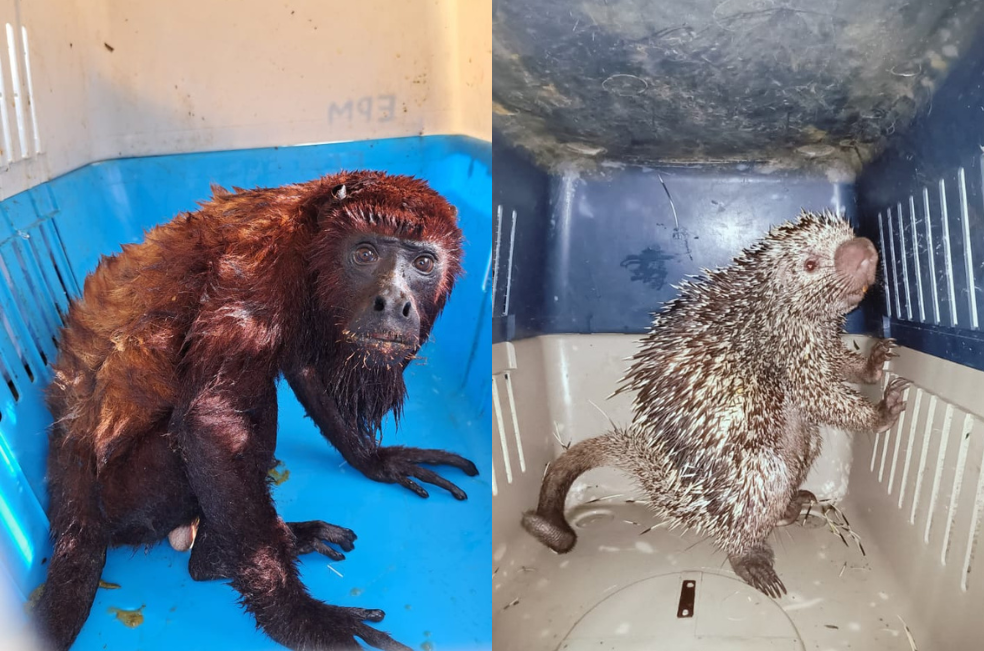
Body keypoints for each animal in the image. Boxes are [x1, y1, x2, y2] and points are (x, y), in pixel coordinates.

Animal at [33, 171, 479, 651]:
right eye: (365, 254)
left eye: (424, 263)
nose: (393, 304)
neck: (310, 232)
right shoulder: (260, 264)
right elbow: (210, 421)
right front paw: (302, 618)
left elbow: (300, 365)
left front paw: (379, 462)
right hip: (132, 494)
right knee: (249, 407)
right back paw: (218, 559)